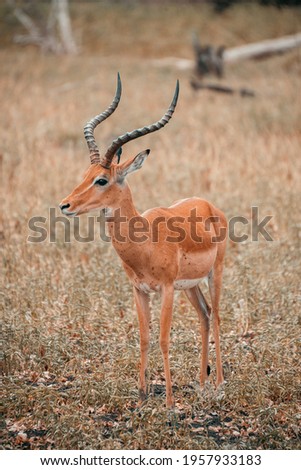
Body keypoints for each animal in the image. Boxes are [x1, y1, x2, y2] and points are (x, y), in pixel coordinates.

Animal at [59, 74, 226, 408]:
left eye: (102, 179)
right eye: (85, 173)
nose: (65, 205)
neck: (145, 242)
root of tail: (208, 204)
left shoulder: (166, 290)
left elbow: (163, 339)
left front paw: (170, 402)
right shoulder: (139, 290)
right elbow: (145, 337)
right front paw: (142, 393)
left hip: (215, 274)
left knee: (216, 316)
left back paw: (219, 383)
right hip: (191, 286)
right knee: (204, 315)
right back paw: (202, 383)